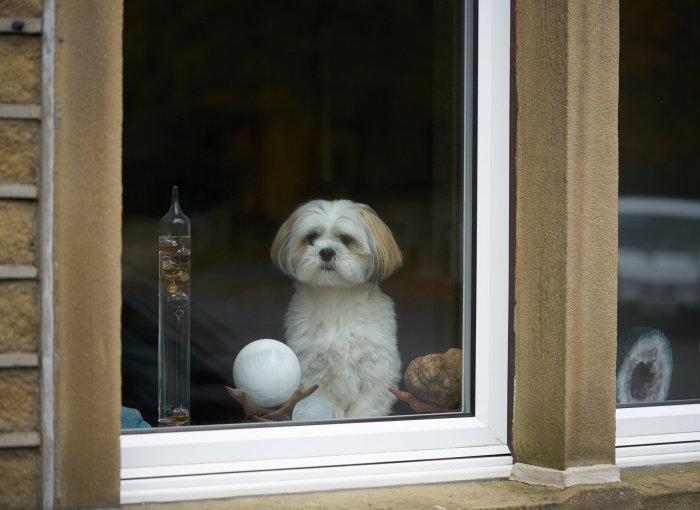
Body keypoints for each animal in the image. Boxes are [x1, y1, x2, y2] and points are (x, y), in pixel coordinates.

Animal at [272, 199, 402, 418]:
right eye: (312, 238)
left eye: (346, 239)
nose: (326, 251)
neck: (337, 297)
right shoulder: (313, 373)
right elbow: (327, 406)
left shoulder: (376, 372)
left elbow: (366, 409)